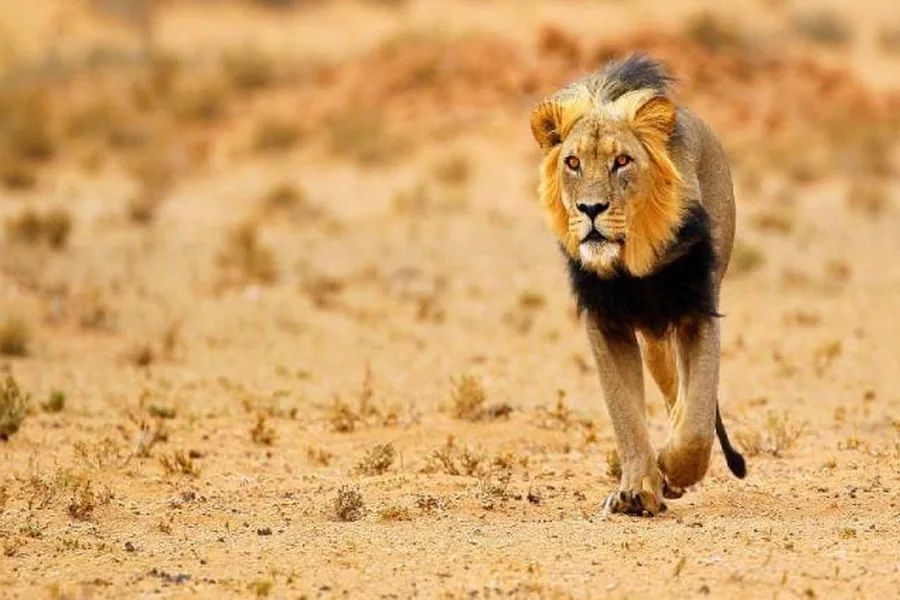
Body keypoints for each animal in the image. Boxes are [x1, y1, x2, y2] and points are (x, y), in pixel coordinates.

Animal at [529, 53, 746, 517]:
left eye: (622, 161)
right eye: (572, 163)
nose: (590, 208)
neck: (632, 263)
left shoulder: (697, 310)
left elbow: (698, 422)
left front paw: (675, 467)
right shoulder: (606, 321)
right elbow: (625, 414)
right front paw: (638, 489)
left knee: (685, 396)